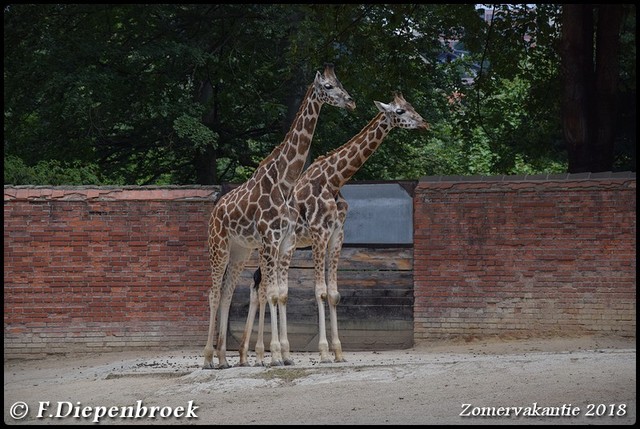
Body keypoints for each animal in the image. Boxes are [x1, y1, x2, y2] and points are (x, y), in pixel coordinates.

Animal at [202, 63, 356, 368]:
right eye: (328, 87)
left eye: (341, 82)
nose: (350, 101)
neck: (283, 182)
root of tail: (215, 211)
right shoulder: (271, 239)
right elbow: (272, 293)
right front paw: (274, 355)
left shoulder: (284, 241)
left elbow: (279, 293)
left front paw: (282, 355)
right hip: (219, 247)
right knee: (214, 293)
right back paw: (207, 358)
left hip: (240, 252)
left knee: (226, 293)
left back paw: (224, 359)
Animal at [240, 92, 430, 362]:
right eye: (400, 111)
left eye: (411, 106)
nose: (424, 123)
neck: (334, 179)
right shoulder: (320, 234)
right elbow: (320, 291)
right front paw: (323, 352)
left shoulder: (337, 235)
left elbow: (334, 293)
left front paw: (338, 351)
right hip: (269, 247)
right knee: (263, 287)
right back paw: (257, 353)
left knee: (261, 286)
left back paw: (252, 354)